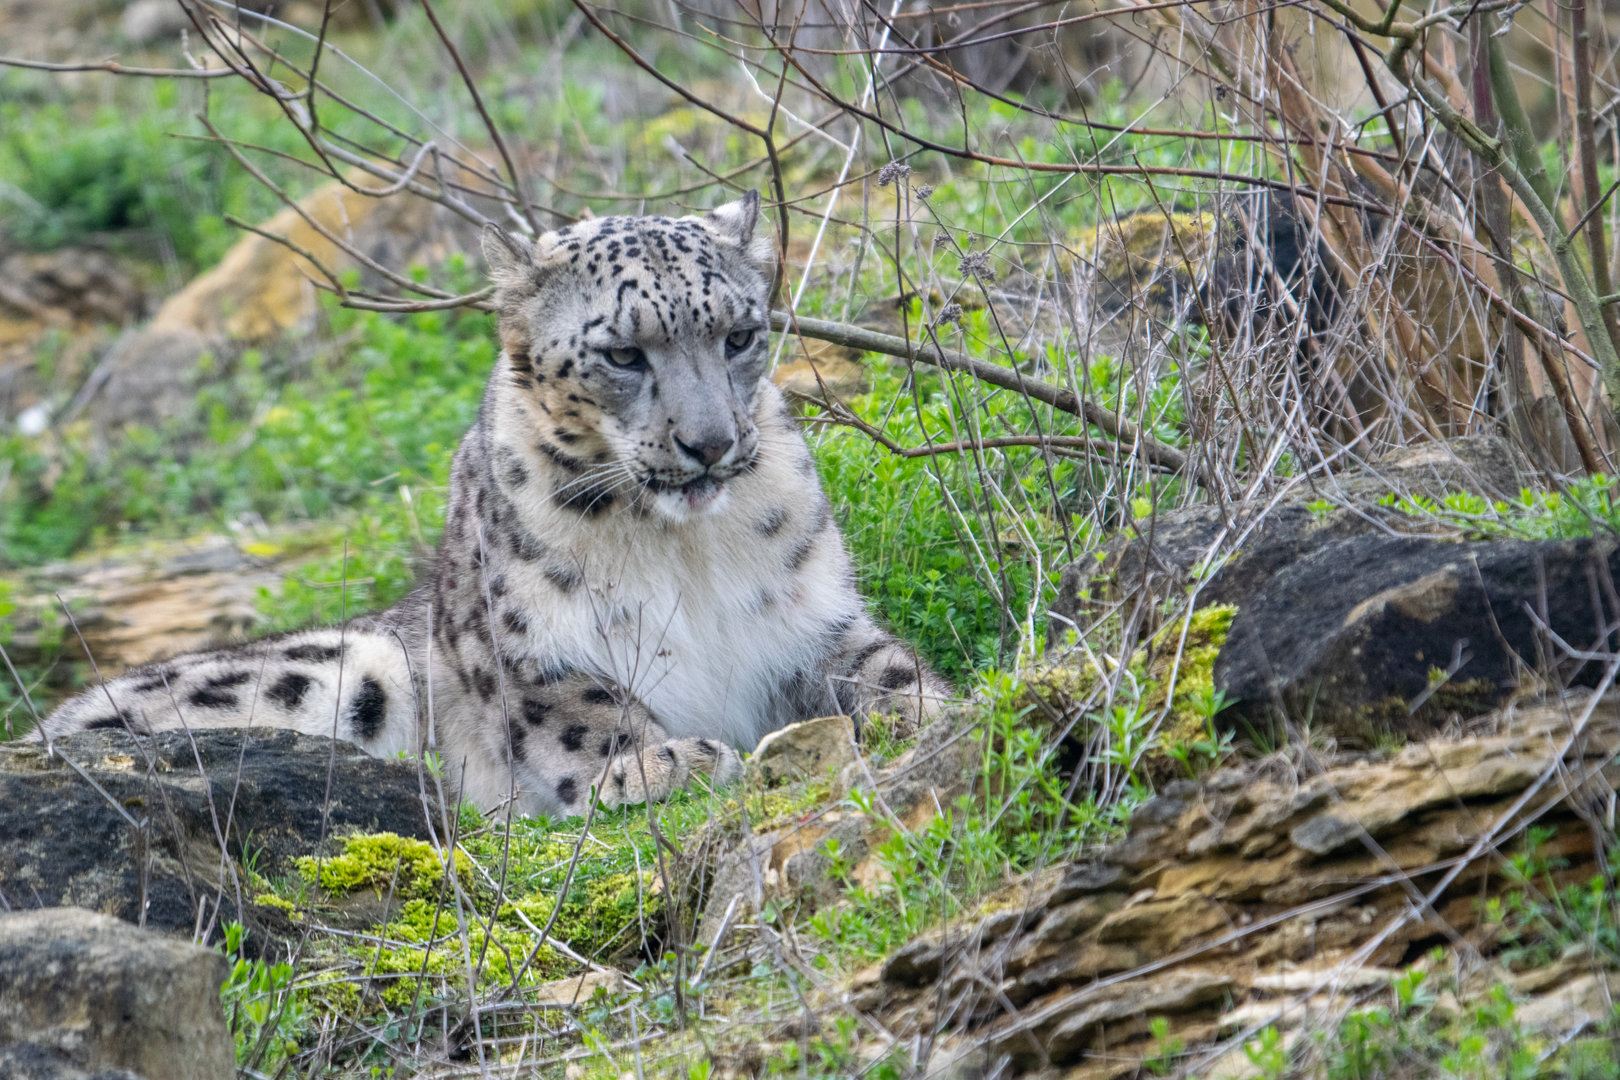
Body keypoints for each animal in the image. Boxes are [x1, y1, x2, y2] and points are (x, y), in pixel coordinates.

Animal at [40, 192, 949, 817]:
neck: (683, 552)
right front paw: (658, 762)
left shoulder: (810, 618)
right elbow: (581, 708)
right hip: (346, 666)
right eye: (623, 353)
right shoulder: (527, 649)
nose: (710, 443)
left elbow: (884, 665)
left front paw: (936, 709)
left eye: (739, 334)